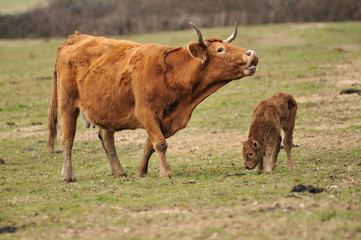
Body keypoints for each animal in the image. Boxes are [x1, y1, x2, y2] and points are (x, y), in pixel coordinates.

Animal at [47, 22, 258, 181]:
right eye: (221, 49)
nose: (252, 54)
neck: (171, 73)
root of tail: (75, 38)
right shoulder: (146, 113)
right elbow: (160, 143)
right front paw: (166, 173)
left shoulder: (167, 119)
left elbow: (150, 144)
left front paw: (142, 172)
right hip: (67, 105)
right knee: (68, 138)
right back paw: (68, 175)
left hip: (106, 108)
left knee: (107, 139)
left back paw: (119, 172)